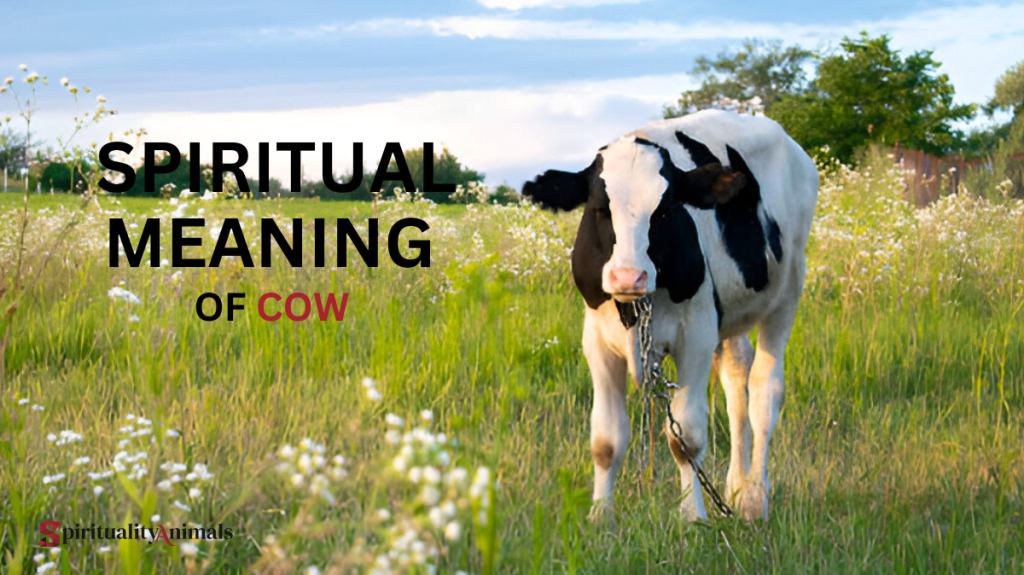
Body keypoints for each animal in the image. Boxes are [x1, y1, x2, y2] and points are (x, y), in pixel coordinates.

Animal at [522, 110, 818, 521]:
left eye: (664, 210)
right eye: (600, 208)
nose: (628, 276)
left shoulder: (696, 337)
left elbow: (687, 438)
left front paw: (693, 516)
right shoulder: (597, 341)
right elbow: (606, 439)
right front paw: (600, 516)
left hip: (788, 292)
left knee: (764, 390)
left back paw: (754, 498)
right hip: (730, 318)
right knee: (736, 380)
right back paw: (736, 486)